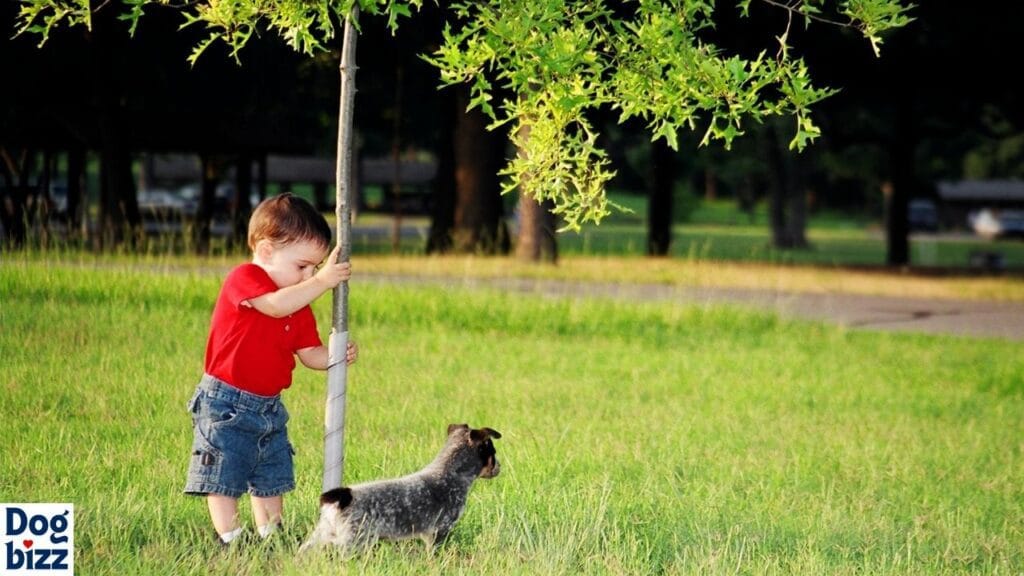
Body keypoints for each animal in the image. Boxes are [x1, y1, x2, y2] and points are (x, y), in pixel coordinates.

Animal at [299, 422, 501, 553]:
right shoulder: (440, 530)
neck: (449, 472)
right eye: (492, 451)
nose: (499, 467)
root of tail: (343, 495)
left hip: (319, 536)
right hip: (352, 541)